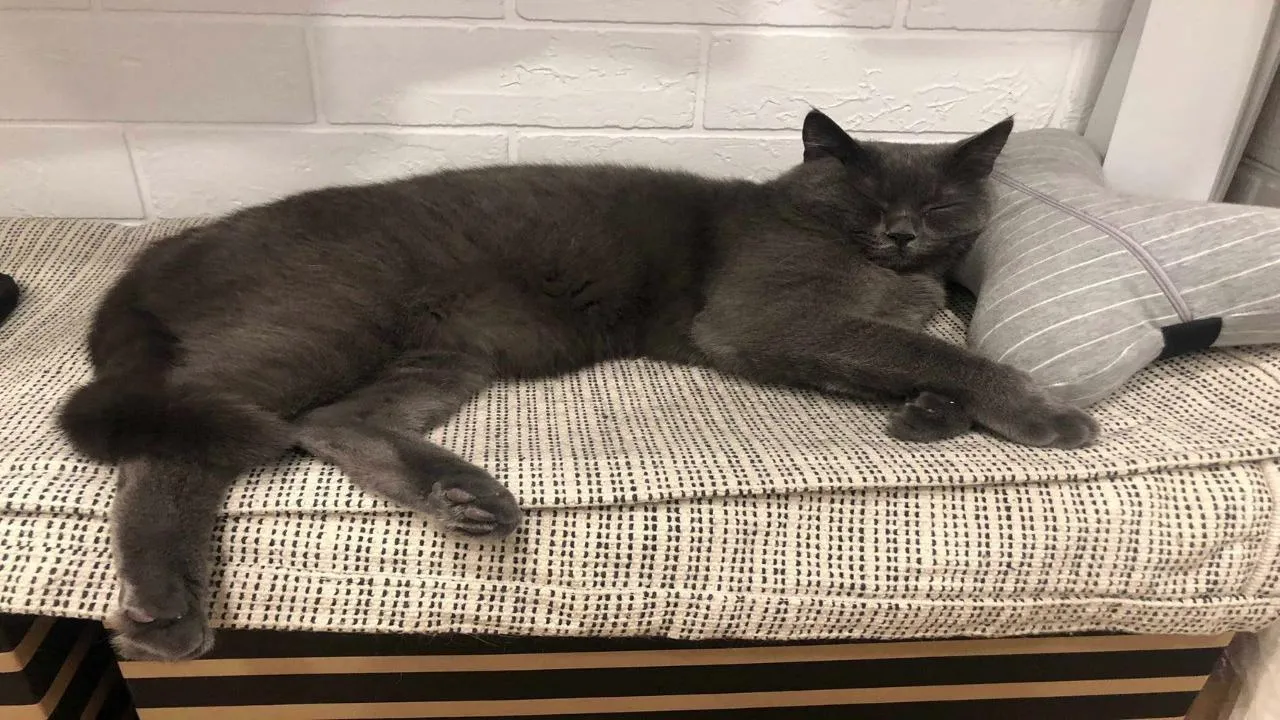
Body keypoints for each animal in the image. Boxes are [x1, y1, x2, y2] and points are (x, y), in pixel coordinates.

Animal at [59, 109, 1097, 661]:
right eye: (863, 198)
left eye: (941, 202)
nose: (903, 234)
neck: (886, 278)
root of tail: (163, 252)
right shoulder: (766, 318)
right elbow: (934, 350)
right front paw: (1042, 410)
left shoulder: (842, 331)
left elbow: (903, 352)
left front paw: (928, 415)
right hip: (316, 324)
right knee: (182, 444)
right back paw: (165, 605)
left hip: (444, 351)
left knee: (332, 424)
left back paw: (462, 496)